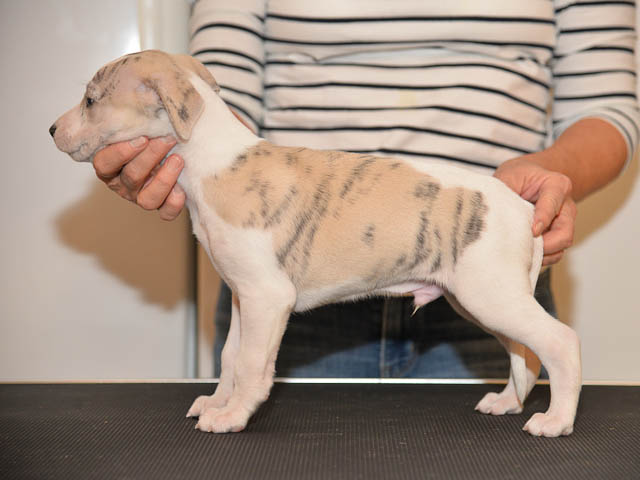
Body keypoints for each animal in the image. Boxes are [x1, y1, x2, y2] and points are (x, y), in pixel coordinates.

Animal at [51, 50, 581, 437]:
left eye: (91, 100)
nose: (52, 130)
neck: (212, 161)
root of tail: (524, 207)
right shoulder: (244, 296)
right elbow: (229, 357)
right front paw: (218, 402)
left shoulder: (268, 297)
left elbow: (251, 364)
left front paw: (232, 417)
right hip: (477, 300)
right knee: (527, 355)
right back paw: (507, 403)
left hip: (490, 295)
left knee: (559, 343)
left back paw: (555, 421)